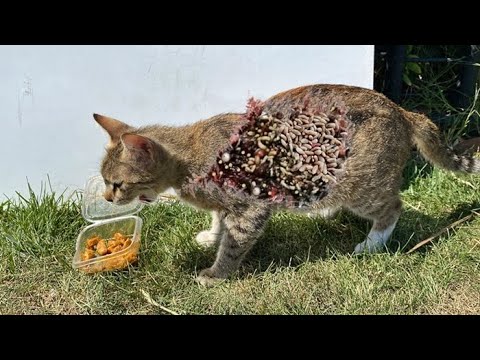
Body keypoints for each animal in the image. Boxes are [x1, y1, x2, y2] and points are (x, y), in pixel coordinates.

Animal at [91, 84, 480, 286]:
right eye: (106, 182)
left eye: (117, 183)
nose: (107, 198)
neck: (192, 155)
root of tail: (401, 109)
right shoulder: (226, 203)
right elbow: (218, 220)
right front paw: (212, 235)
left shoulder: (250, 207)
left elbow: (234, 243)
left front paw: (215, 274)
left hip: (363, 186)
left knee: (393, 207)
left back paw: (371, 244)